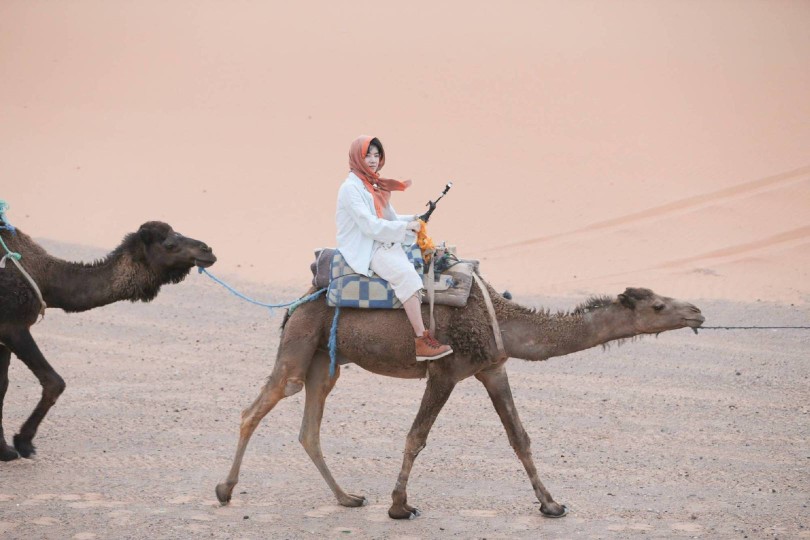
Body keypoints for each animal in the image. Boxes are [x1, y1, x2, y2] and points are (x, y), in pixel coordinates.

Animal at [0, 221, 216, 462]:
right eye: (169, 244)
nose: (207, 250)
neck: (45, 278)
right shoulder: (13, 326)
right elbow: (54, 381)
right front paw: (23, 442)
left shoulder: (4, 337)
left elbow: (3, 386)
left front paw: (5, 451)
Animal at [213, 280, 700, 516]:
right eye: (658, 306)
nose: (696, 311)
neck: (502, 318)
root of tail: (295, 305)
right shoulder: (445, 371)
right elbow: (416, 437)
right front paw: (399, 506)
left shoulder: (493, 369)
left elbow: (520, 439)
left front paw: (551, 504)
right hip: (300, 346)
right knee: (257, 407)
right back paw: (224, 489)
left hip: (325, 361)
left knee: (309, 429)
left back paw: (348, 498)